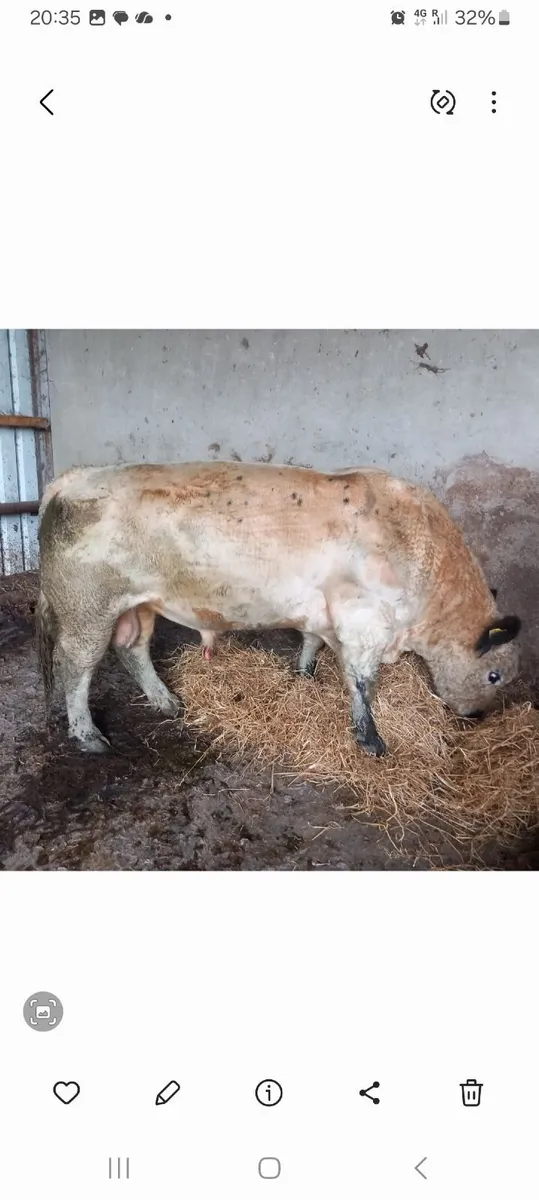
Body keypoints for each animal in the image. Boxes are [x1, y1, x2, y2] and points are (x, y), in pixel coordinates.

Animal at [35, 460, 522, 757]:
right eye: (494, 676)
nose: (476, 718)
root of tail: (75, 477)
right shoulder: (365, 623)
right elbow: (362, 683)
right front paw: (370, 740)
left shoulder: (324, 613)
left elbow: (311, 643)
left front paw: (304, 676)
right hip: (87, 610)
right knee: (76, 666)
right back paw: (88, 735)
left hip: (138, 605)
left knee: (133, 649)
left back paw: (164, 700)